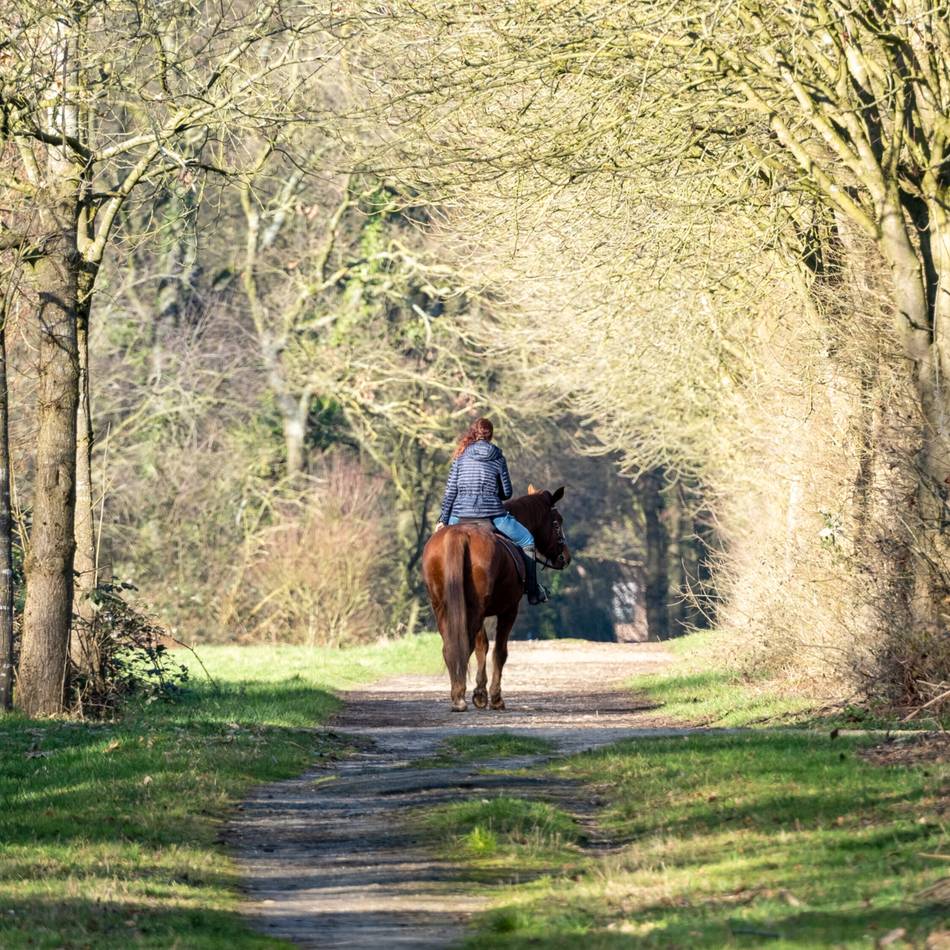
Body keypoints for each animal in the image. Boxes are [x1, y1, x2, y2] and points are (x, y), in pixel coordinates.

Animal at [421, 485, 571, 711]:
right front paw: (494, 697)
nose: (565, 557)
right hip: (478, 608)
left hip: (442, 606)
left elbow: (482, 646)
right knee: (466, 646)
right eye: (556, 523)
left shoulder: (478, 611)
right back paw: (460, 695)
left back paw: (457, 693)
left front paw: (480, 693)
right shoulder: (509, 610)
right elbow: (499, 652)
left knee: (451, 646)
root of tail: (460, 534)